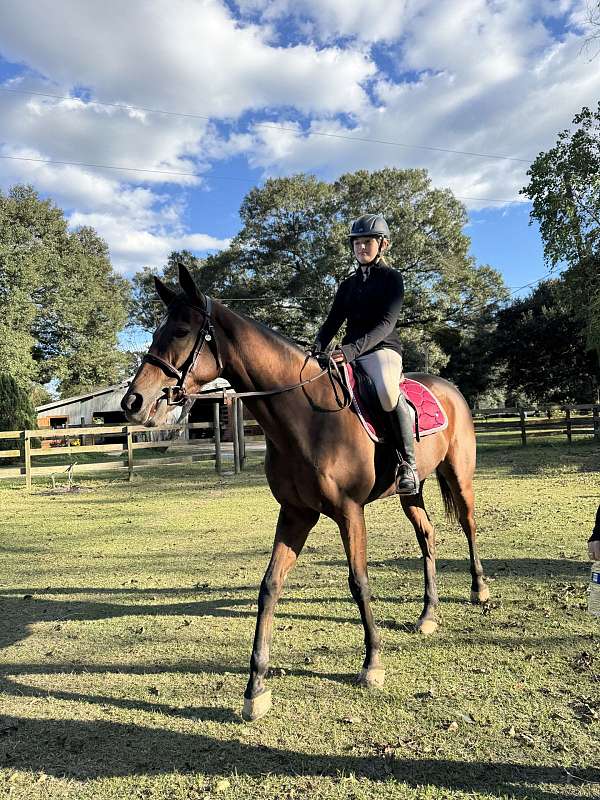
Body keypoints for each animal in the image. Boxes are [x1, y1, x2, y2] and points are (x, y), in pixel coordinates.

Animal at [121, 264, 489, 722]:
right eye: (157, 331)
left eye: (181, 330)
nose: (133, 402)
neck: (308, 416)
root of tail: (449, 388)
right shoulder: (296, 514)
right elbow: (269, 587)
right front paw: (256, 688)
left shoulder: (350, 512)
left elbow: (358, 581)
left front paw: (372, 664)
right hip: (411, 490)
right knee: (428, 536)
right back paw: (427, 615)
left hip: (459, 476)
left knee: (470, 526)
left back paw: (479, 590)